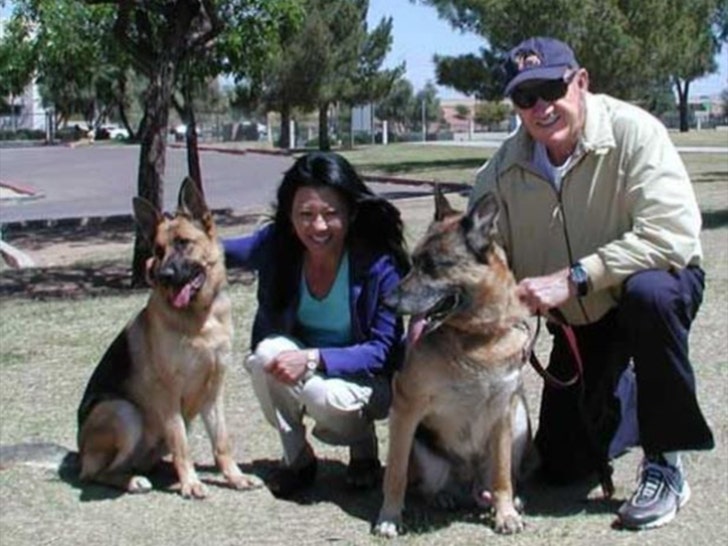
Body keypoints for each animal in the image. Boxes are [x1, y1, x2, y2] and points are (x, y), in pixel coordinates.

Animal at [76, 178, 258, 498]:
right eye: (158, 250)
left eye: (184, 243)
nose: (163, 275)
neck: (199, 320)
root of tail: (79, 453)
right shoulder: (169, 392)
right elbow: (181, 443)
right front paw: (191, 483)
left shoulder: (214, 389)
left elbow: (221, 441)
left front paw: (234, 477)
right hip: (124, 412)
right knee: (98, 473)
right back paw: (133, 481)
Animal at [376, 188, 536, 536]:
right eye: (413, 262)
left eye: (433, 266)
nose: (387, 302)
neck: (476, 336)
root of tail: (468, 485)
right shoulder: (406, 408)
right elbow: (395, 474)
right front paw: (389, 517)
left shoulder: (504, 410)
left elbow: (502, 475)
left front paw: (505, 514)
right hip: (424, 451)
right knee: (424, 486)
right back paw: (444, 497)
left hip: (519, 421)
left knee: (496, 480)